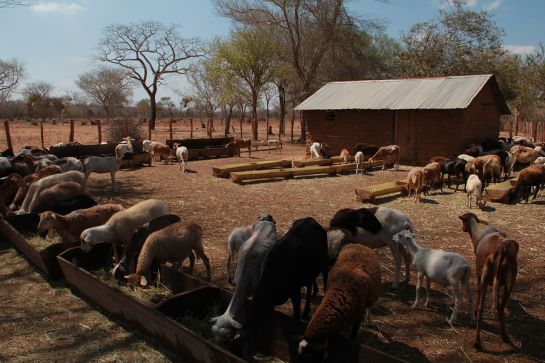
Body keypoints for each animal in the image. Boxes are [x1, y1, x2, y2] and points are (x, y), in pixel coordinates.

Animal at [460, 213, 520, 350]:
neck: (476, 237)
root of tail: (502, 250)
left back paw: (477, 342)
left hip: (485, 275)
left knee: (482, 308)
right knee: (500, 307)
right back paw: (505, 337)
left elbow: (478, 292)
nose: (462, 228)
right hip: (511, 280)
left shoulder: (479, 274)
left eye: (463, 221)